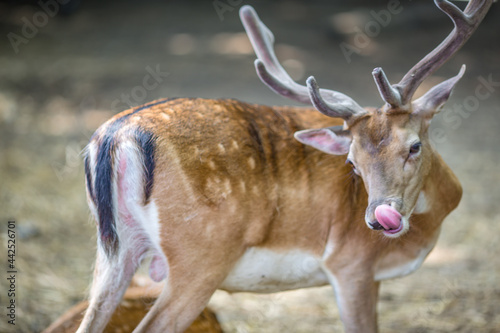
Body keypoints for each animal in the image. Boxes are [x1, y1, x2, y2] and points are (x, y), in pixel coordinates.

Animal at [77, 1, 492, 330]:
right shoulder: (350, 265)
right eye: (352, 161)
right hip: (199, 259)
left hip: (113, 252)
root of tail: (116, 136)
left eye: (414, 146)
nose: (378, 218)